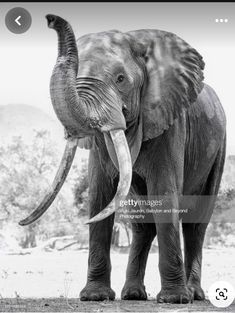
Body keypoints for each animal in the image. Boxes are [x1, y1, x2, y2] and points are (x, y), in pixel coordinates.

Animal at [19, 15, 226, 302]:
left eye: (120, 79)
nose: (51, 19)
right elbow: (100, 193)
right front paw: (94, 296)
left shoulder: (170, 122)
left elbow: (164, 192)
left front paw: (174, 299)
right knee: (141, 225)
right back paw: (133, 295)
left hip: (218, 149)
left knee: (196, 223)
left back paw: (193, 294)